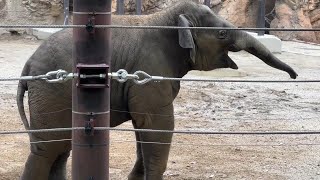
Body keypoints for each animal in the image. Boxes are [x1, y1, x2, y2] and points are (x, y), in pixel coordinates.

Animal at [16, 0, 298, 179]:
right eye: (221, 34)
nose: (294, 76)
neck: (169, 17)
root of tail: (27, 64)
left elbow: (144, 129)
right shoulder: (150, 70)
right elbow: (158, 125)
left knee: (61, 148)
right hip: (52, 90)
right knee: (48, 149)